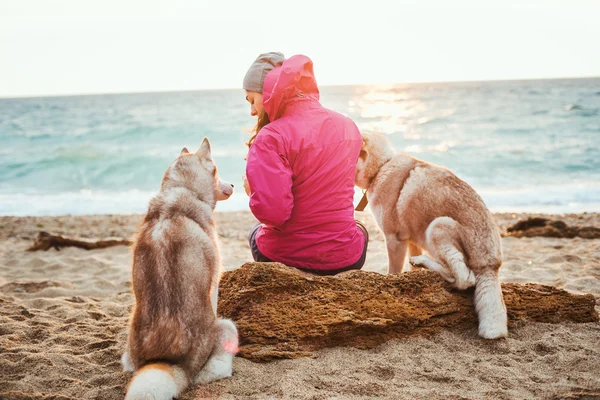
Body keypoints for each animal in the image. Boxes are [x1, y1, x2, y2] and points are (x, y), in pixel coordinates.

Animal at [122, 138, 239, 400]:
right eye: (217, 172)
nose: (233, 184)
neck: (183, 190)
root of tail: (166, 360)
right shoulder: (214, 283)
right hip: (227, 327)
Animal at [356, 134, 506, 338]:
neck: (381, 166)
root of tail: (490, 264)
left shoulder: (394, 239)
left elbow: (393, 271)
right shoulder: (411, 241)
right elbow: (410, 270)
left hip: (437, 226)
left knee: (464, 278)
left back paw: (427, 264)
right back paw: (421, 263)